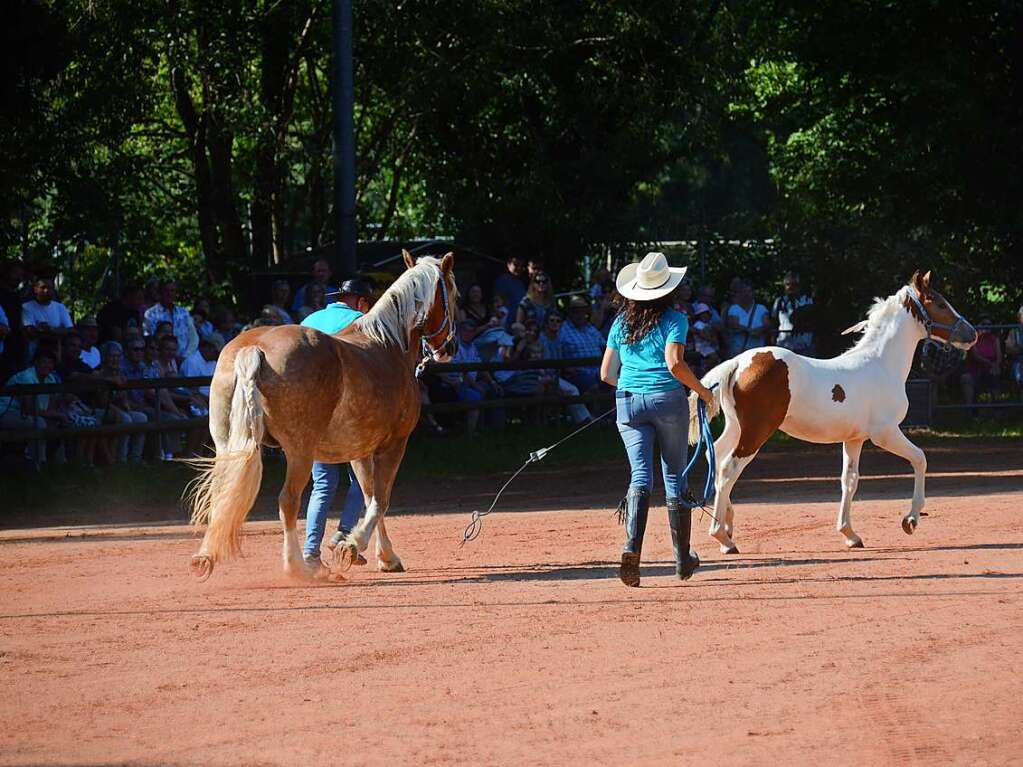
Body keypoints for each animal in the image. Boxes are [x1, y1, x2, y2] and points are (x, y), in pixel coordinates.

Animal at [189, 252, 460, 580]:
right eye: (454, 294)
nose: (449, 347)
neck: (389, 345)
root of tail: (254, 349)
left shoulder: (360, 451)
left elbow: (369, 495)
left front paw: (383, 556)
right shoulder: (394, 445)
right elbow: (381, 500)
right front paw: (354, 546)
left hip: (227, 446)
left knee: (222, 493)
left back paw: (207, 556)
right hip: (299, 452)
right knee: (288, 501)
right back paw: (297, 567)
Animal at [695, 274, 973, 556]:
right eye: (940, 304)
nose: (972, 333)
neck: (882, 364)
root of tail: (739, 363)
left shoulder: (854, 439)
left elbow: (849, 480)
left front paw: (850, 535)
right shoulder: (885, 434)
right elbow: (920, 459)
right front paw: (911, 520)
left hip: (736, 428)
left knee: (715, 457)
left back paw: (728, 523)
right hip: (756, 432)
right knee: (728, 469)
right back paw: (723, 538)